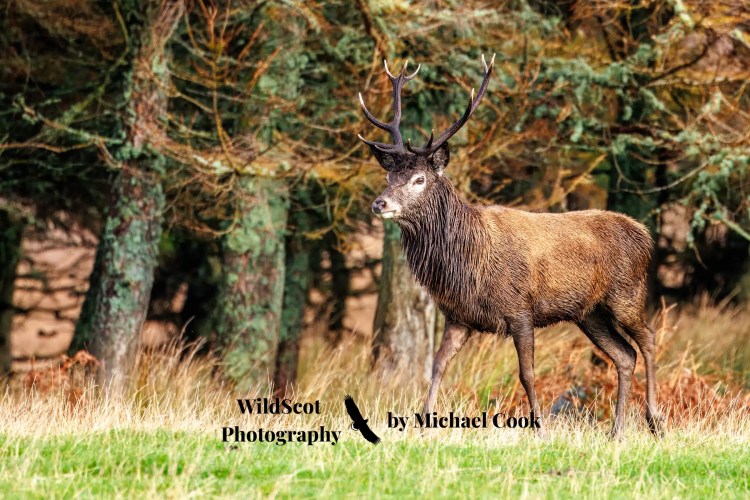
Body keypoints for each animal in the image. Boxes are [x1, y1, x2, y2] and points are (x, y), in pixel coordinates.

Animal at [358, 55, 663, 438]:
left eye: (419, 179)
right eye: (389, 176)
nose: (379, 203)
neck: (467, 260)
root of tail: (645, 235)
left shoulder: (520, 310)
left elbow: (527, 373)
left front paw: (541, 430)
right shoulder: (458, 315)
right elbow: (437, 366)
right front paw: (424, 425)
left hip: (627, 294)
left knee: (648, 340)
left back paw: (655, 420)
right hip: (590, 313)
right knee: (624, 355)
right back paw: (617, 431)